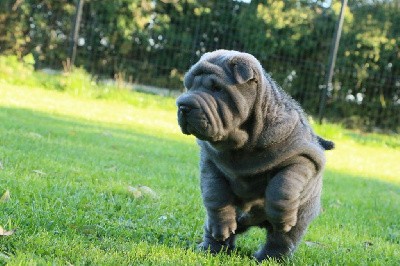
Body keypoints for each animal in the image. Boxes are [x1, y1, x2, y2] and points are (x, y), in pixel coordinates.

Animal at [177, 50, 332, 262]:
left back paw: (269, 258)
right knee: (213, 226)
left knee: (281, 240)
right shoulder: (210, 163)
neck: (242, 144)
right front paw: (222, 226)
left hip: (300, 218)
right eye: (188, 86)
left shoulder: (303, 157)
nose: (183, 105)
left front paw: (283, 219)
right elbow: (215, 195)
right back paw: (211, 248)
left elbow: (282, 187)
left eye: (216, 88)